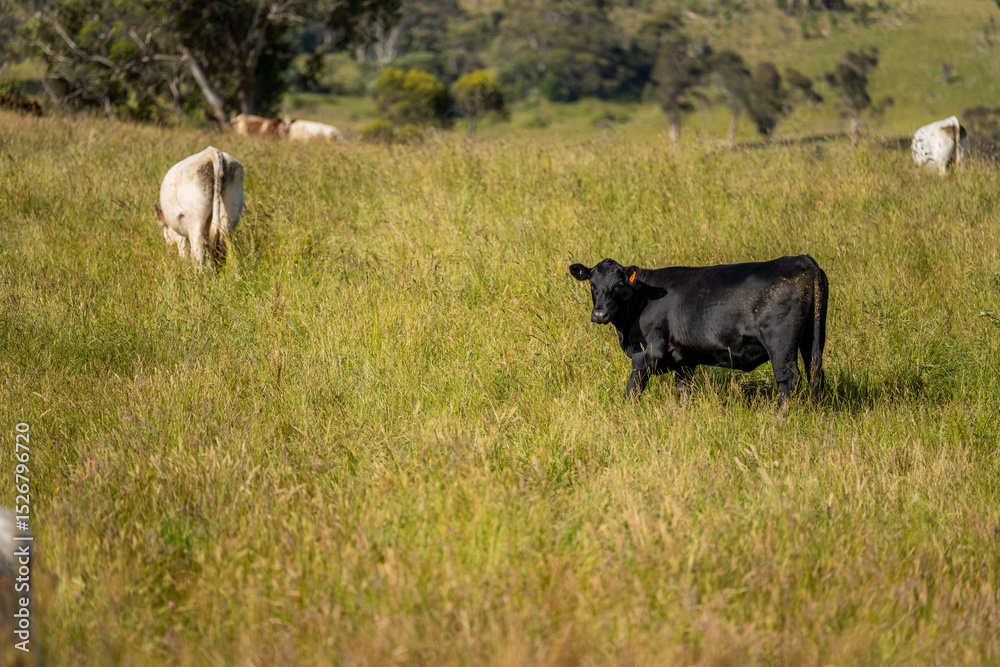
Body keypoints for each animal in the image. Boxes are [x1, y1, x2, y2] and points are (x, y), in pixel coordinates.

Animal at [569, 255, 829, 407]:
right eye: (592, 285)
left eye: (620, 285)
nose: (600, 314)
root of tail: (801, 259)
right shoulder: (685, 359)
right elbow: (683, 391)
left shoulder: (647, 353)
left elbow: (632, 390)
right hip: (813, 337)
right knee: (815, 373)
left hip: (781, 344)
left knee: (788, 378)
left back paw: (779, 417)